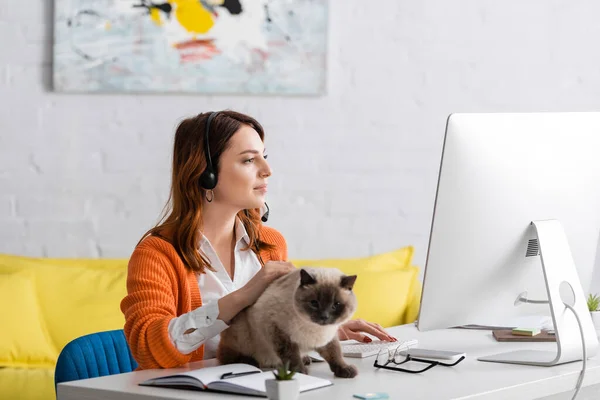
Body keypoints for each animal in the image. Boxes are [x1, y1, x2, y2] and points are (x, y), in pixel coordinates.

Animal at [218, 268, 358, 378]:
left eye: (336, 305)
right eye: (314, 303)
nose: (324, 317)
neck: (314, 328)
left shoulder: (328, 337)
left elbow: (335, 354)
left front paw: (345, 370)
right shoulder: (278, 330)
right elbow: (291, 356)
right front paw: (299, 372)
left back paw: (306, 359)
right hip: (242, 333)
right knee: (227, 358)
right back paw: (249, 362)